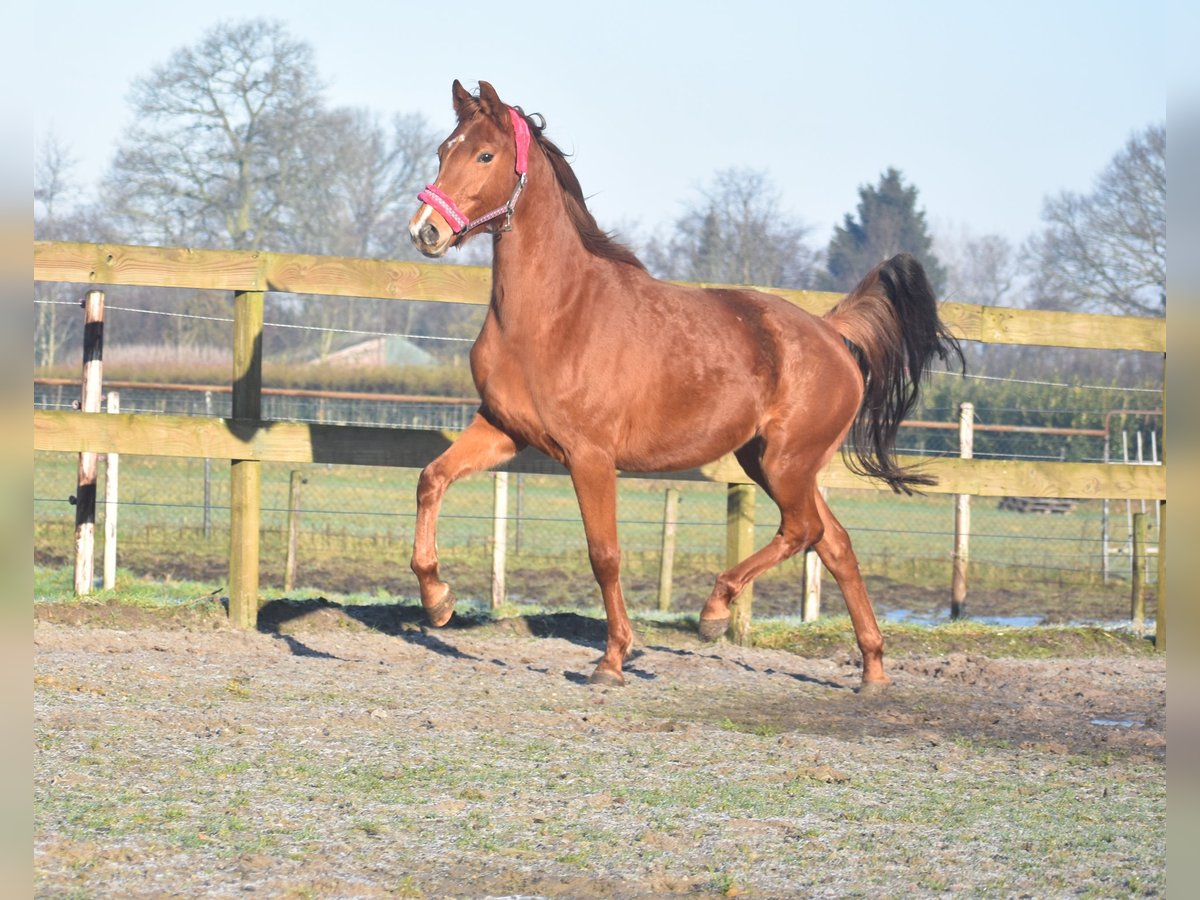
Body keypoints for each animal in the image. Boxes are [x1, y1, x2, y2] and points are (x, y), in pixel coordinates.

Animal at [408, 82, 960, 691]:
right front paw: (437, 600)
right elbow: (431, 478)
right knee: (833, 542)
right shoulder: (504, 429)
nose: (425, 230)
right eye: (443, 150)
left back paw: (715, 612)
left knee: (803, 530)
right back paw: (872, 670)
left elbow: (605, 554)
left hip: (787, 463)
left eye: (485, 155)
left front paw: (612, 660)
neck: (552, 314)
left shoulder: (590, 455)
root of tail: (832, 332)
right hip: (767, 461)